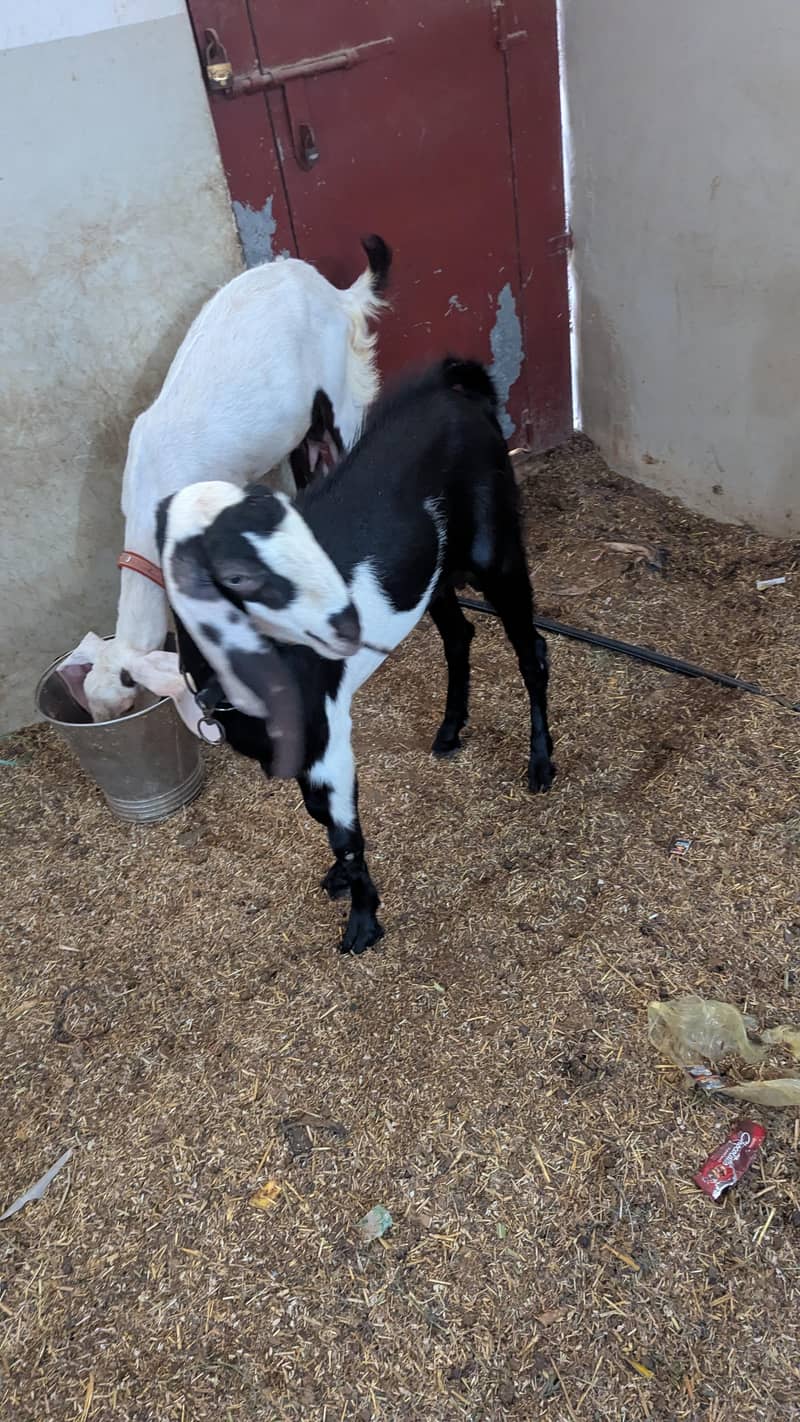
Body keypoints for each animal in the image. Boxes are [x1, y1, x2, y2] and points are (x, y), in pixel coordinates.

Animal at [158, 358, 555, 955]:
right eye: (227, 573)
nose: (333, 621)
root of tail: (456, 392)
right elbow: (318, 813)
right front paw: (344, 884)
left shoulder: (328, 738)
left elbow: (342, 829)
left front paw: (364, 921)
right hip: (433, 573)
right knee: (459, 635)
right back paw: (450, 730)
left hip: (497, 552)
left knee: (531, 650)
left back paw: (541, 764)